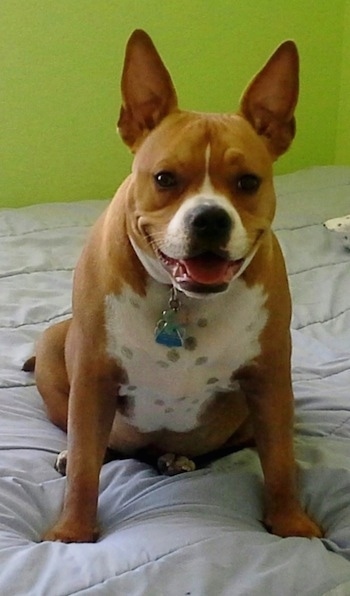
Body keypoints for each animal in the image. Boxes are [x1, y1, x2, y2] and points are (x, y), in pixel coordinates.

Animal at [22, 30, 322, 544]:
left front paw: (292, 525)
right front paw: (72, 533)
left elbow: (281, 460)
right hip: (56, 346)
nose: (210, 218)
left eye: (248, 182)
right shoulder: (94, 376)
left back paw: (176, 457)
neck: (181, 300)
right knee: (90, 444)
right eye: (164, 178)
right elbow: (84, 465)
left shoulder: (269, 379)